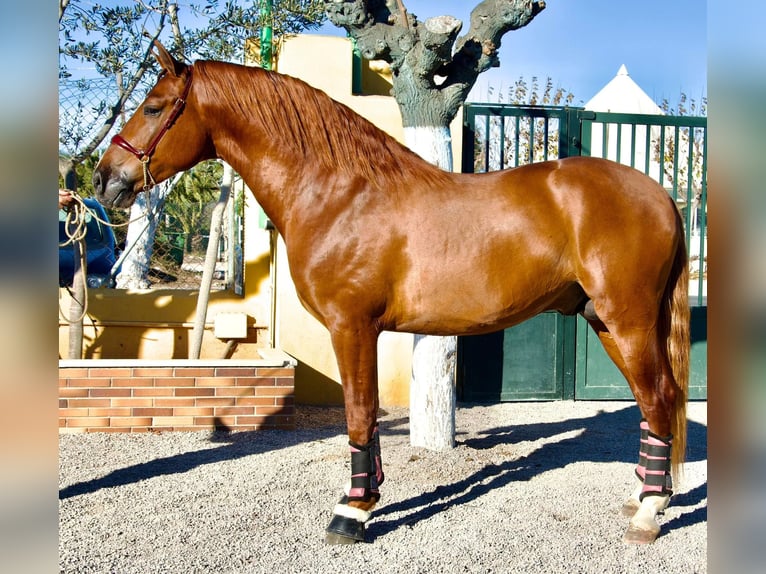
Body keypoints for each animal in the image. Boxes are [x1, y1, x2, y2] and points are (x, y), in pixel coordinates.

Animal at [93, 42, 692, 548]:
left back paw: (648, 513)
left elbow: (360, 414)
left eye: (154, 107)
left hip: (629, 321)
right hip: (606, 321)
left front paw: (353, 512)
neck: (338, 193)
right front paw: (368, 496)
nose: (103, 179)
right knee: (651, 402)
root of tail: (660, 194)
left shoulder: (352, 326)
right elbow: (366, 417)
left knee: (660, 397)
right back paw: (646, 496)